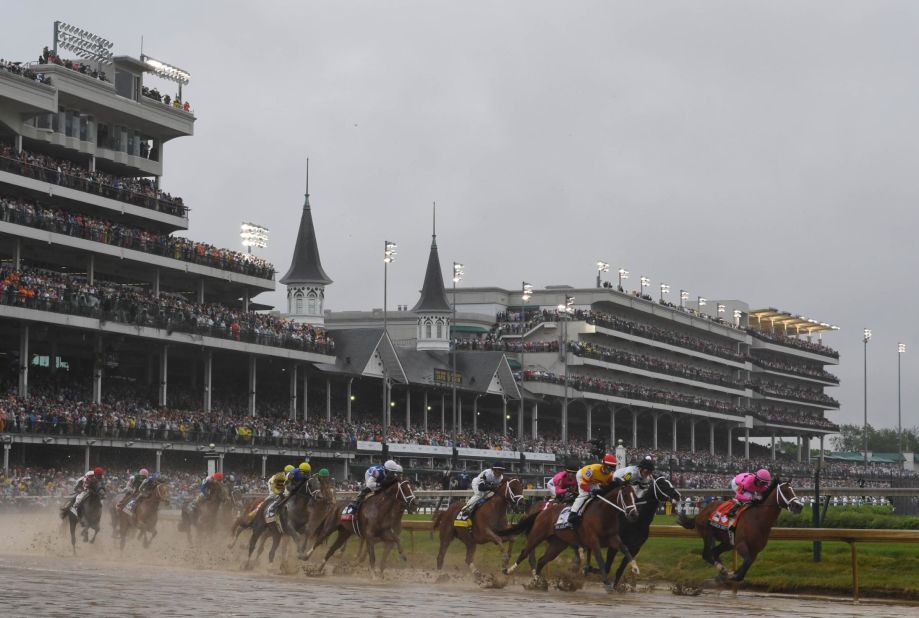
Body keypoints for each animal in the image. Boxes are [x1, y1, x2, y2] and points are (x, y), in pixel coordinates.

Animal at [500, 482, 644, 588]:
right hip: (537, 535)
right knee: (525, 553)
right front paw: (607, 583)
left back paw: (538, 582)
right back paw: (508, 571)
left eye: (635, 497)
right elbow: (600, 560)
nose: (634, 515)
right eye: (625, 496)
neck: (602, 513)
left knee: (542, 560)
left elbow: (625, 548)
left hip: (558, 544)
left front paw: (635, 567)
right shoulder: (593, 540)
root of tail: (542, 512)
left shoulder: (613, 538)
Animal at [676, 474, 804, 580]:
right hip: (708, 534)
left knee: (715, 552)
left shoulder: (755, 550)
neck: (758, 519)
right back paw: (722, 570)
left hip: (727, 542)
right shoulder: (741, 544)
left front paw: (732, 574)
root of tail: (700, 513)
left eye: (793, 491)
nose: (799, 506)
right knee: (707, 554)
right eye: (785, 491)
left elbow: (745, 567)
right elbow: (745, 564)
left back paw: (722, 570)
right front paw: (730, 575)